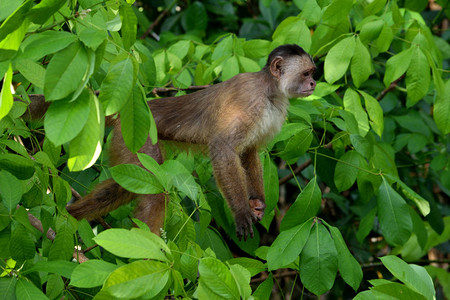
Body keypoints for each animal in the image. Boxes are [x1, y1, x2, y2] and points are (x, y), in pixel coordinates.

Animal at [22, 44, 316, 240]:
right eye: (306, 74)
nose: (313, 83)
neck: (270, 91)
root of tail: (136, 108)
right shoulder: (250, 98)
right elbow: (223, 147)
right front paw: (242, 212)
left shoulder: (276, 113)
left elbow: (249, 152)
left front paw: (257, 204)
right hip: (137, 136)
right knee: (154, 188)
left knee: (122, 187)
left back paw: (70, 217)